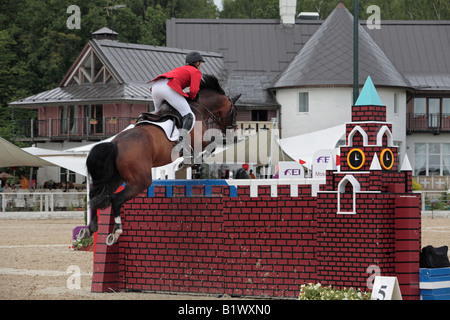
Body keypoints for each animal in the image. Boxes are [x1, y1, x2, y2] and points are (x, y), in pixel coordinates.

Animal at [79, 75, 241, 245]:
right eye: (235, 112)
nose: (234, 135)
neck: (200, 108)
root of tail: (115, 143)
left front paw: (187, 162)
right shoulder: (199, 142)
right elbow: (212, 145)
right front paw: (188, 163)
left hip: (115, 178)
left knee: (97, 196)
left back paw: (89, 229)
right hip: (141, 181)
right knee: (115, 200)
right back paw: (116, 232)